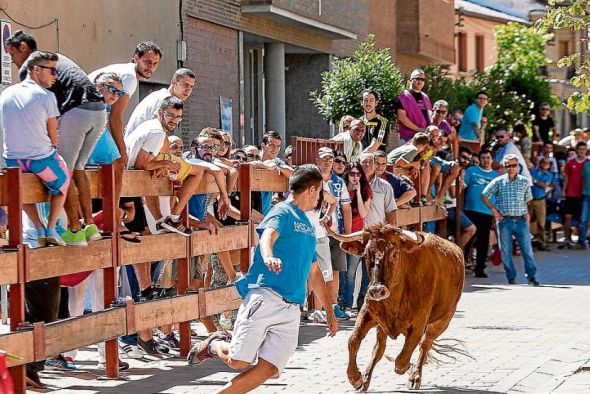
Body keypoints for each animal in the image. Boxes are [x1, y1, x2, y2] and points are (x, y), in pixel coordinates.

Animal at [328, 223, 468, 390]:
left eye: (395, 254)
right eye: (366, 255)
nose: (377, 290)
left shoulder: (419, 324)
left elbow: (402, 359)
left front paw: (409, 369)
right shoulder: (367, 313)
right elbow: (353, 340)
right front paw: (355, 377)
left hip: (442, 321)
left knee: (425, 345)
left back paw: (415, 376)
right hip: (382, 327)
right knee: (379, 348)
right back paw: (366, 380)